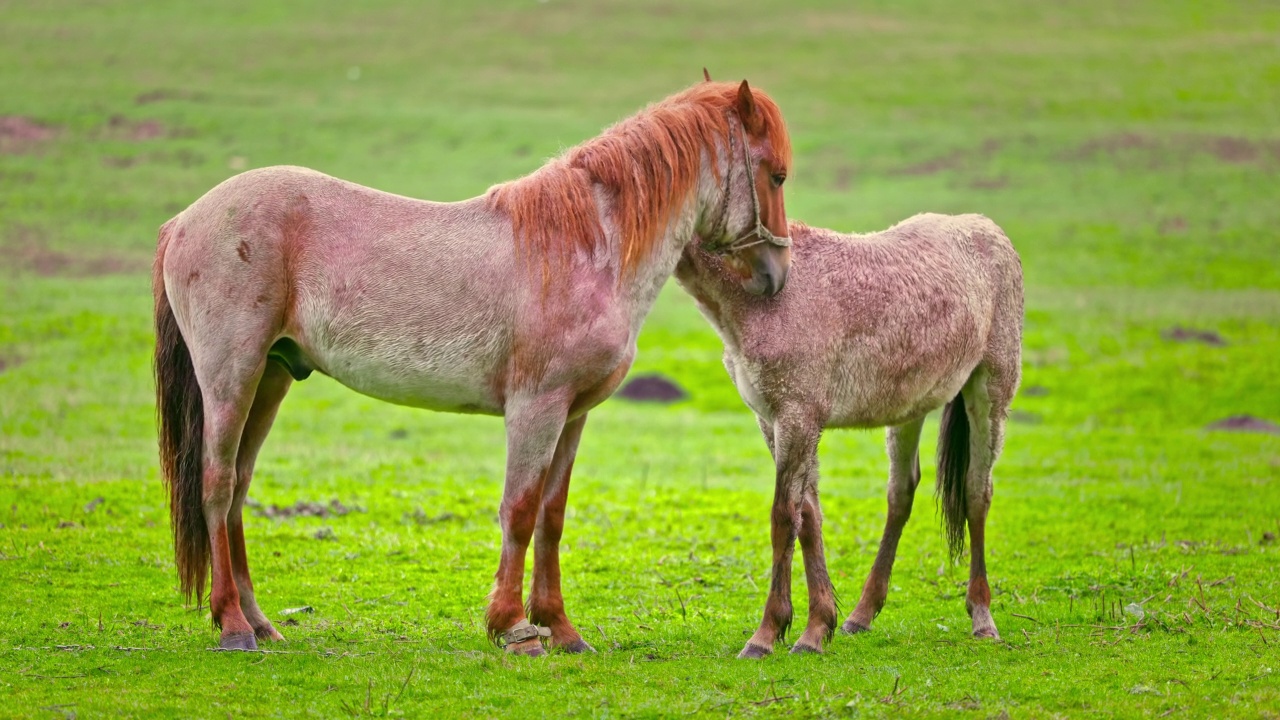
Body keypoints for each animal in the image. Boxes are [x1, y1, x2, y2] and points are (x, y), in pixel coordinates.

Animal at [154, 77, 793, 650]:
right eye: (777, 174)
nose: (776, 277)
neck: (586, 247)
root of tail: (184, 220)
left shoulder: (574, 414)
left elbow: (552, 516)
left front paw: (561, 630)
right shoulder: (536, 408)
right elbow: (520, 511)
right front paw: (513, 627)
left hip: (270, 379)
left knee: (238, 487)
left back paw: (261, 622)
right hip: (232, 378)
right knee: (216, 485)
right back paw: (233, 626)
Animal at [675, 211, 1024, 655]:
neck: (765, 296)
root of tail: (986, 226)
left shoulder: (797, 417)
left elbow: (783, 518)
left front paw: (767, 635)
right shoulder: (775, 421)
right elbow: (808, 515)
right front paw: (816, 628)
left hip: (990, 390)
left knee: (976, 492)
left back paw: (982, 618)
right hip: (909, 408)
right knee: (901, 493)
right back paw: (861, 615)